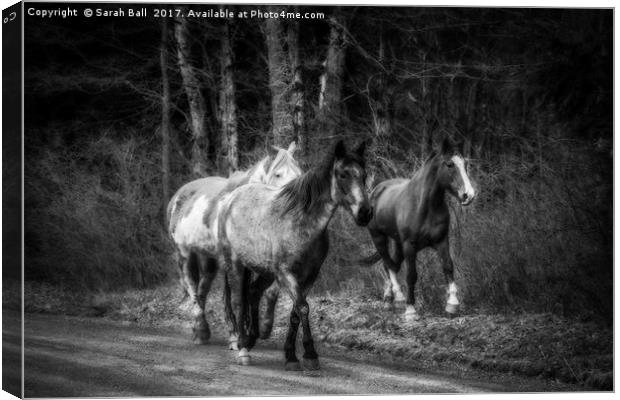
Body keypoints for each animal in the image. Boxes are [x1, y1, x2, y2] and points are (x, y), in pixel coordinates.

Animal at [366, 138, 478, 322]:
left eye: (465, 164)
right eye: (449, 164)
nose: (468, 195)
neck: (425, 206)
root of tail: (376, 190)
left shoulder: (441, 241)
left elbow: (448, 266)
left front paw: (452, 304)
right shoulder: (410, 245)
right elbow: (412, 275)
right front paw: (411, 310)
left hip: (397, 243)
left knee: (392, 265)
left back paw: (389, 300)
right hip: (379, 238)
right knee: (388, 264)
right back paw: (398, 297)